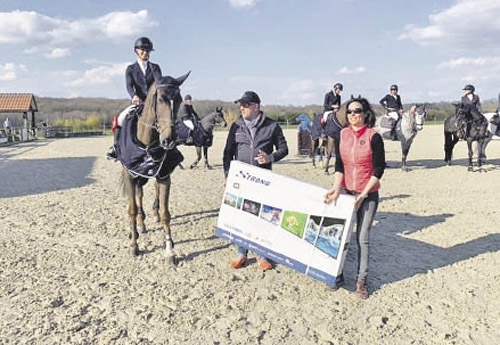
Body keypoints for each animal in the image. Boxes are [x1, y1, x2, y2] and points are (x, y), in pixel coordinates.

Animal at [119, 72, 189, 260]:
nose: (169, 140)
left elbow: (165, 213)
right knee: (138, 197)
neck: (147, 144)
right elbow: (132, 209)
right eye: (161, 99)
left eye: (179, 100)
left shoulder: (164, 176)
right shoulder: (130, 175)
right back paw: (139, 226)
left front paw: (169, 249)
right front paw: (133, 245)